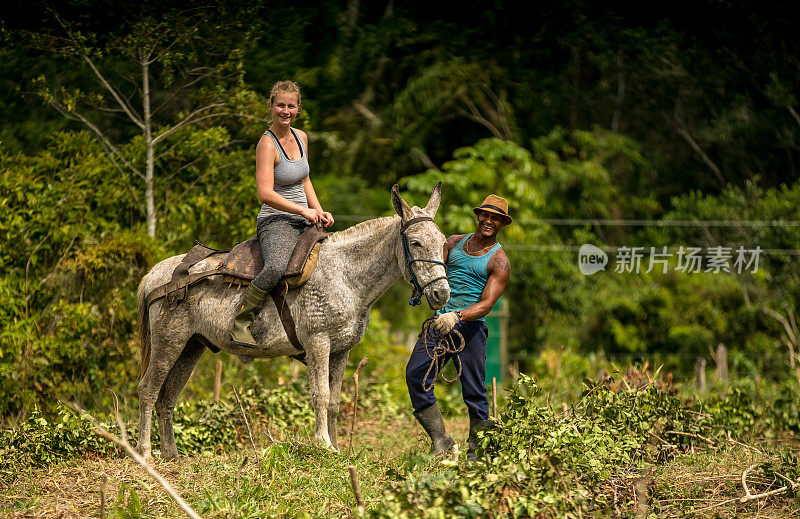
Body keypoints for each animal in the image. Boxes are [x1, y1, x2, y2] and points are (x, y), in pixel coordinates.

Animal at [138, 183, 450, 460]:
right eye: (415, 243)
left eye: (442, 242)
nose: (441, 293)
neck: (346, 275)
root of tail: (155, 275)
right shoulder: (318, 343)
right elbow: (320, 394)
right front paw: (323, 445)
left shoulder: (341, 351)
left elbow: (334, 401)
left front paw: (336, 448)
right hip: (169, 342)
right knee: (148, 390)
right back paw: (145, 452)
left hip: (191, 347)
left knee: (168, 398)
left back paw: (171, 455)